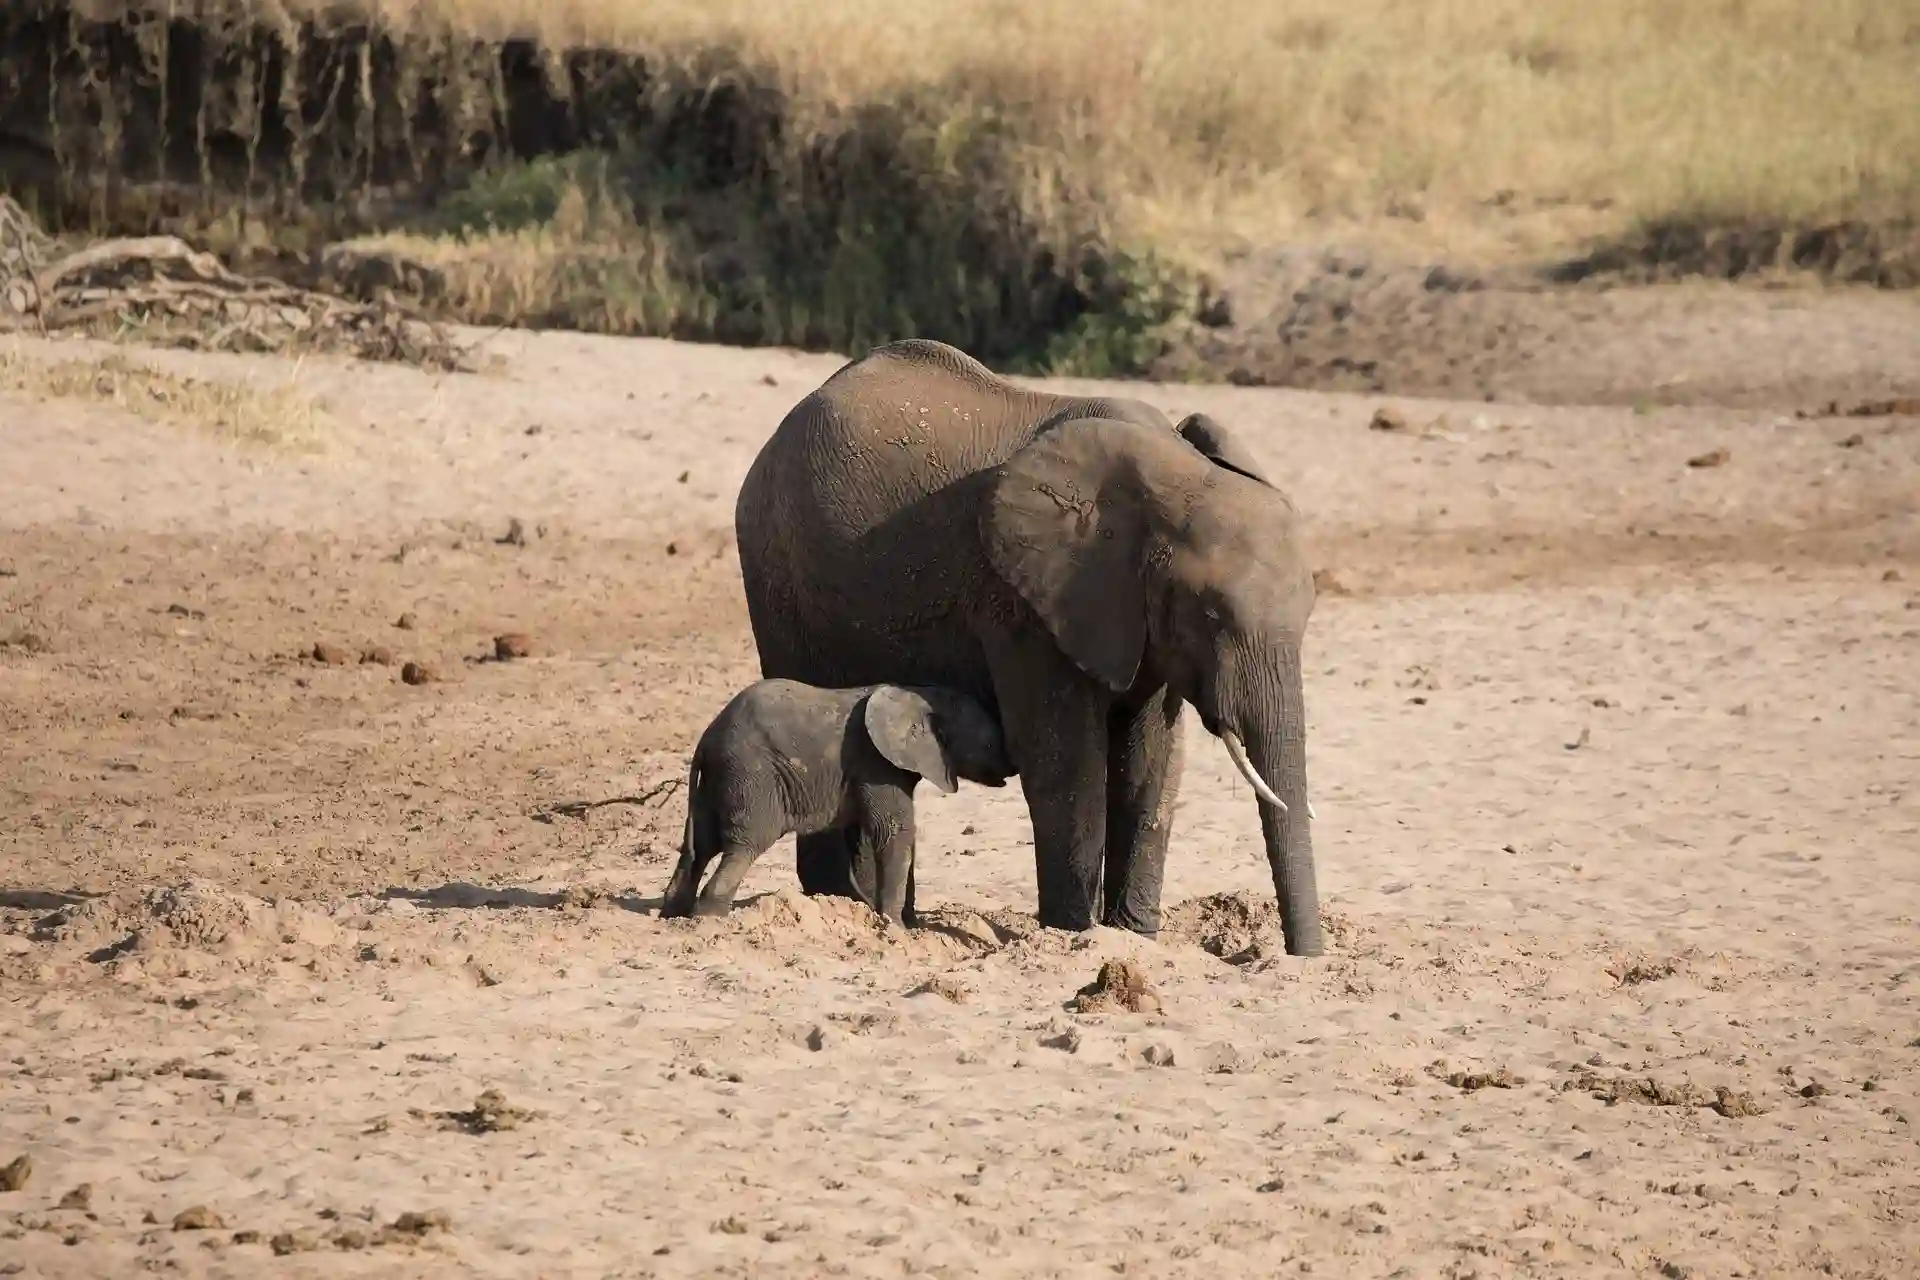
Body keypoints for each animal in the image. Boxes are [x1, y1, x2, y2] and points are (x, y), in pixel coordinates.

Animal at [660, 675, 1013, 924]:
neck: (920, 692)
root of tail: (705, 740)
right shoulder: (875, 763)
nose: (1012, 766)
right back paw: (709, 918)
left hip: (717, 780)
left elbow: (864, 835)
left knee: (701, 846)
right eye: (989, 743)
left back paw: (673, 914)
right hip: (752, 774)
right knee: (745, 844)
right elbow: (893, 832)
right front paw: (896, 927)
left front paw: (872, 914)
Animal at [725, 335, 1328, 955]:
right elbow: (1066, 763)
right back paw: (837, 907)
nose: (1302, 958)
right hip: (777, 571)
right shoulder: (1023, 605)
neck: (1168, 473)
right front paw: (1075, 936)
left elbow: (1151, 763)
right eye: (1209, 614)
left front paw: (1134, 938)